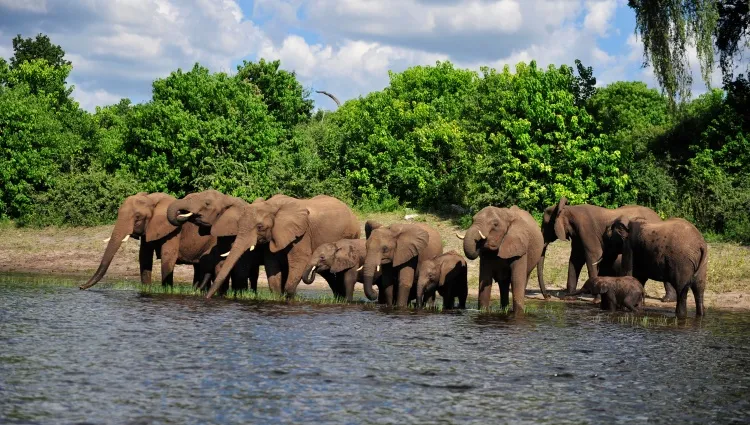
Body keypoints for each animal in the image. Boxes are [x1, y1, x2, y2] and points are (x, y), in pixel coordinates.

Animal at [80, 193, 219, 290]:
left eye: (137, 217)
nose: (80, 287)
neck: (151, 199)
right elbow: (144, 257)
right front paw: (147, 290)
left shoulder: (174, 231)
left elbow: (168, 257)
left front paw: (166, 291)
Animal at [200, 194, 362, 296]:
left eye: (260, 227)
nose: (207, 298)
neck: (271, 205)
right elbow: (272, 264)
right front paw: (278, 297)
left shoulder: (302, 234)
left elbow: (299, 261)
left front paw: (289, 297)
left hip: (351, 235)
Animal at [540, 196, 676, 300]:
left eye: (545, 225)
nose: (548, 297)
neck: (569, 209)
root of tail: (659, 218)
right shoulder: (578, 235)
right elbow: (576, 259)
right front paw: (569, 298)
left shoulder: (586, 231)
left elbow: (593, 257)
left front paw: (596, 298)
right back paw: (668, 299)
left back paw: (667, 300)